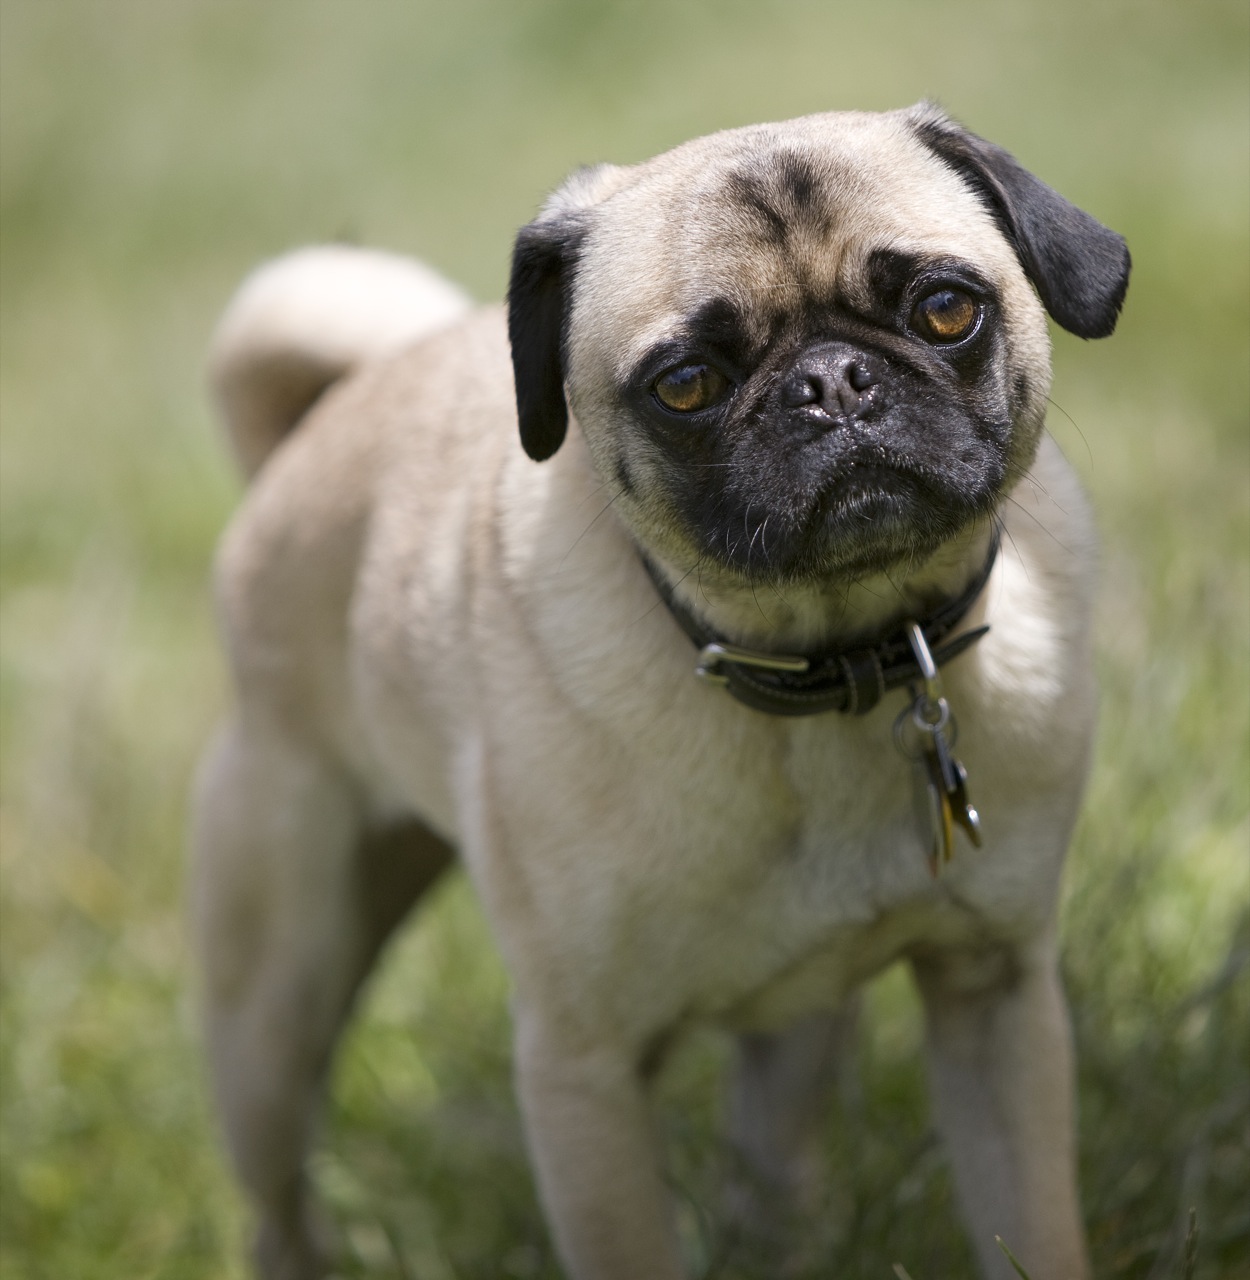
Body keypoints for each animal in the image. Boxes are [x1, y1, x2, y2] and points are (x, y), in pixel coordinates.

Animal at [197, 102, 1131, 1280]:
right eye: (684, 383)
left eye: (946, 309)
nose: (834, 381)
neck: (837, 664)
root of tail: (317, 424)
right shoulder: (583, 1072)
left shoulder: (993, 992)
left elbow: (1034, 1224)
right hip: (276, 998)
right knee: (278, 1189)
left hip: (799, 1029)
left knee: (772, 1167)